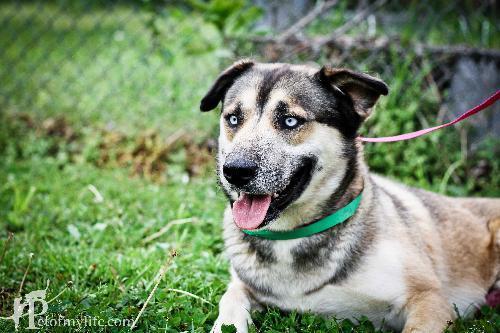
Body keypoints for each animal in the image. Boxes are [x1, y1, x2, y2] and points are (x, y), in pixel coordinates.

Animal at [199, 60, 500, 332]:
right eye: (234, 119)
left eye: (290, 121)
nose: (235, 171)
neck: (293, 235)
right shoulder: (241, 286)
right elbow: (230, 302)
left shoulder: (429, 298)